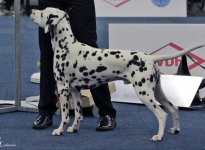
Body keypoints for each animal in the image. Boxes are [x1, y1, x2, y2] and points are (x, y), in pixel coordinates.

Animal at [29, 7, 204, 141]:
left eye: (42, 12)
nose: (31, 10)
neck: (66, 46)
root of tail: (149, 57)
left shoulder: (63, 88)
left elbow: (65, 115)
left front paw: (59, 130)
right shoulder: (75, 90)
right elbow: (78, 114)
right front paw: (74, 128)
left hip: (144, 94)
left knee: (162, 115)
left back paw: (158, 137)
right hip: (157, 92)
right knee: (174, 109)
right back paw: (175, 130)